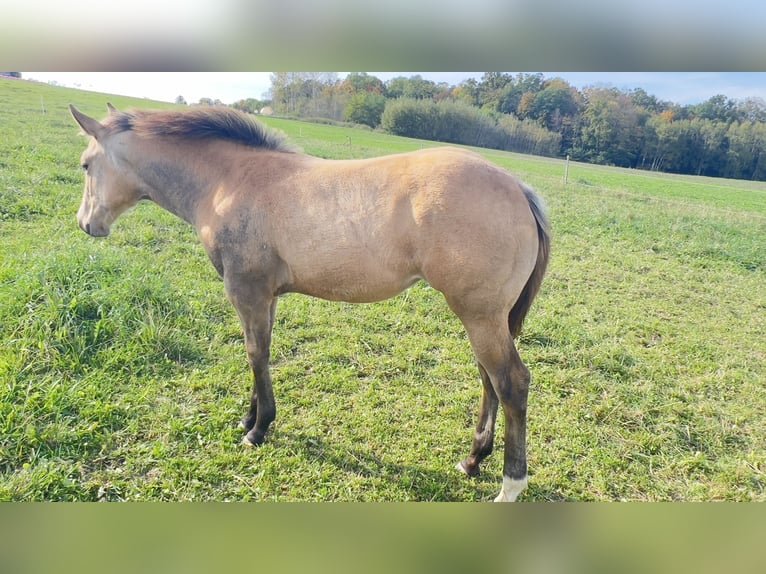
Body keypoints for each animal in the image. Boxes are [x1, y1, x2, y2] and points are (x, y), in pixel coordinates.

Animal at [70, 104, 552, 504]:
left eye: (86, 164)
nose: (86, 224)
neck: (228, 182)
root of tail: (520, 189)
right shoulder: (265, 295)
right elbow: (260, 353)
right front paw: (249, 419)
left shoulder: (244, 289)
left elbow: (254, 353)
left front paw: (258, 429)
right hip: (486, 317)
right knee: (489, 379)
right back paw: (472, 460)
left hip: (480, 314)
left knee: (511, 382)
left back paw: (510, 486)